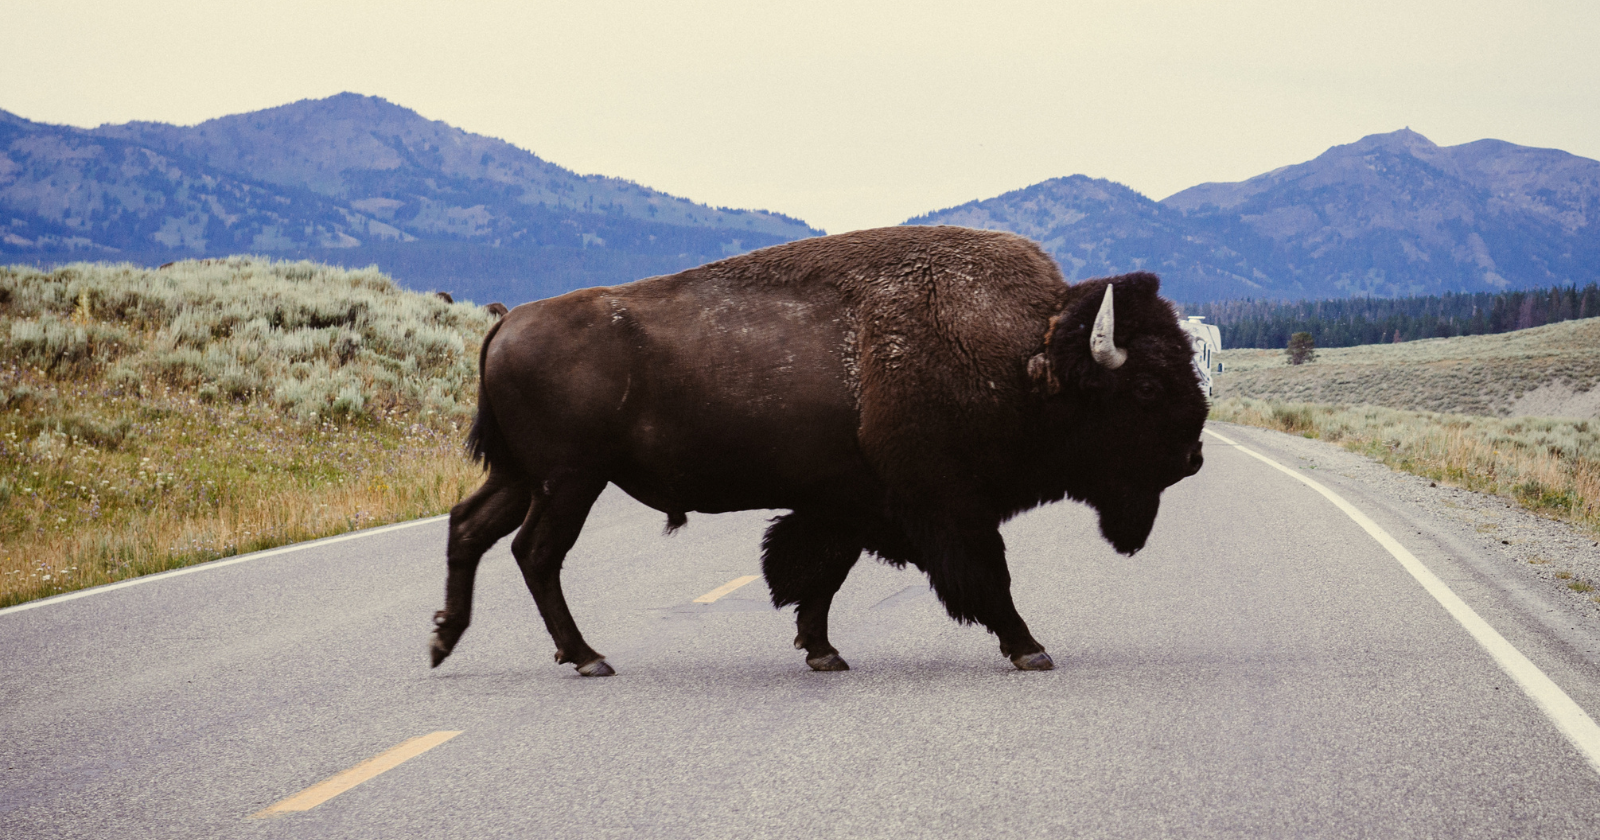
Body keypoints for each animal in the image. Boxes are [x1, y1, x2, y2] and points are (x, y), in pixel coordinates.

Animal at [430, 226, 1208, 676]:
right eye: (1145, 385)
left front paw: (824, 653)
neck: (1025, 357)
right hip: (570, 480)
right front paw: (1030, 649)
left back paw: (447, 641)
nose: (1193, 456)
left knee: (470, 528)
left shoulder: (849, 506)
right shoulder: (945, 506)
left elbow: (816, 577)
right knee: (536, 553)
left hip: (523, 476)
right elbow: (988, 578)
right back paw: (587, 658)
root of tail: (505, 324)